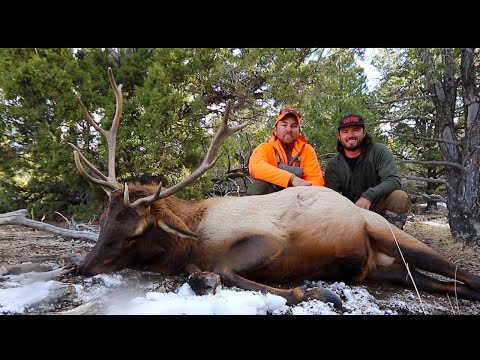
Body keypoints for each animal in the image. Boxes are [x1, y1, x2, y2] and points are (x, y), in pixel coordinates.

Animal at [69, 68, 480, 310]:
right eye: (104, 221)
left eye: (135, 232)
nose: (80, 266)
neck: (190, 237)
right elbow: (201, 274)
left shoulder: (268, 240)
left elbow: (223, 269)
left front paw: (316, 291)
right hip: (383, 270)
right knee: (445, 284)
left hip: (387, 232)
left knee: (462, 271)